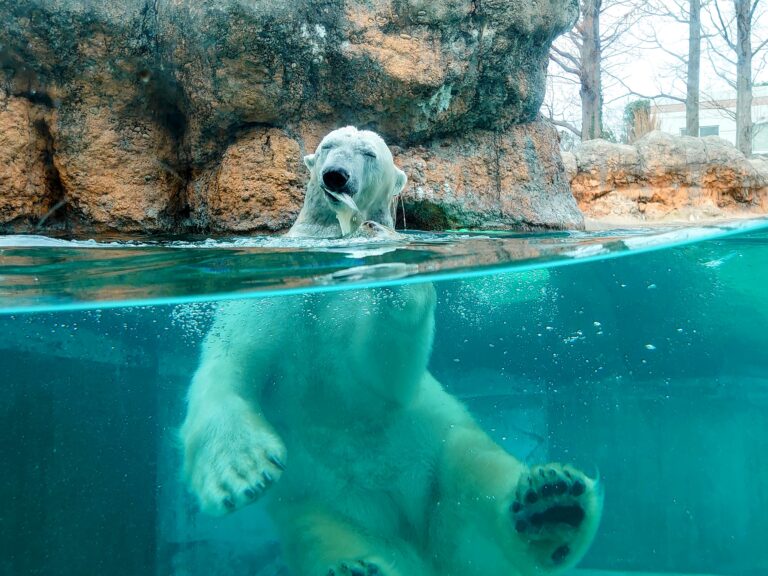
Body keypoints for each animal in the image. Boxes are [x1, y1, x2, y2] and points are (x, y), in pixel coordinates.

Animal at [183, 126, 604, 576]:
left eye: (368, 153)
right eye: (328, 146)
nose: (336, 176)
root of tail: (426, 553)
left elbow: (381, 372)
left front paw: (397, 269)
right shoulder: (269, 295)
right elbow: (233, 359)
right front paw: (238, 468)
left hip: (444, 449)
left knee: (479, 479)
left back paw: (552, 505)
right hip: (316, 503)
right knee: (319, 535)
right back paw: (356, 567)